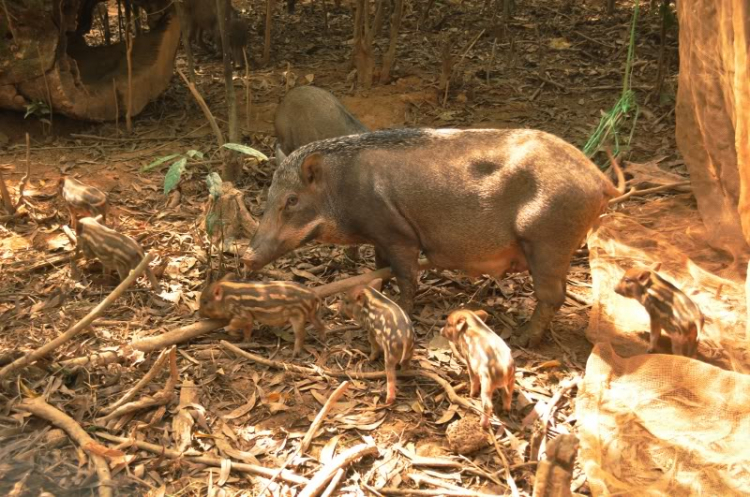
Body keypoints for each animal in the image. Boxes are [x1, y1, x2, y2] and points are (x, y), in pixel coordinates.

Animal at [244, 128, 624, 344]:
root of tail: (600, 179)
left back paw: (522, 340)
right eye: (269, 195)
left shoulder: (398, 234)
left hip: (547, 241)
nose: (246, 256)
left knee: (553, 296)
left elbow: (407, 277)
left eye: (292, 200)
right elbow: (380, 270)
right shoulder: (379, 238)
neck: (341, 192)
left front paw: (403, 309)